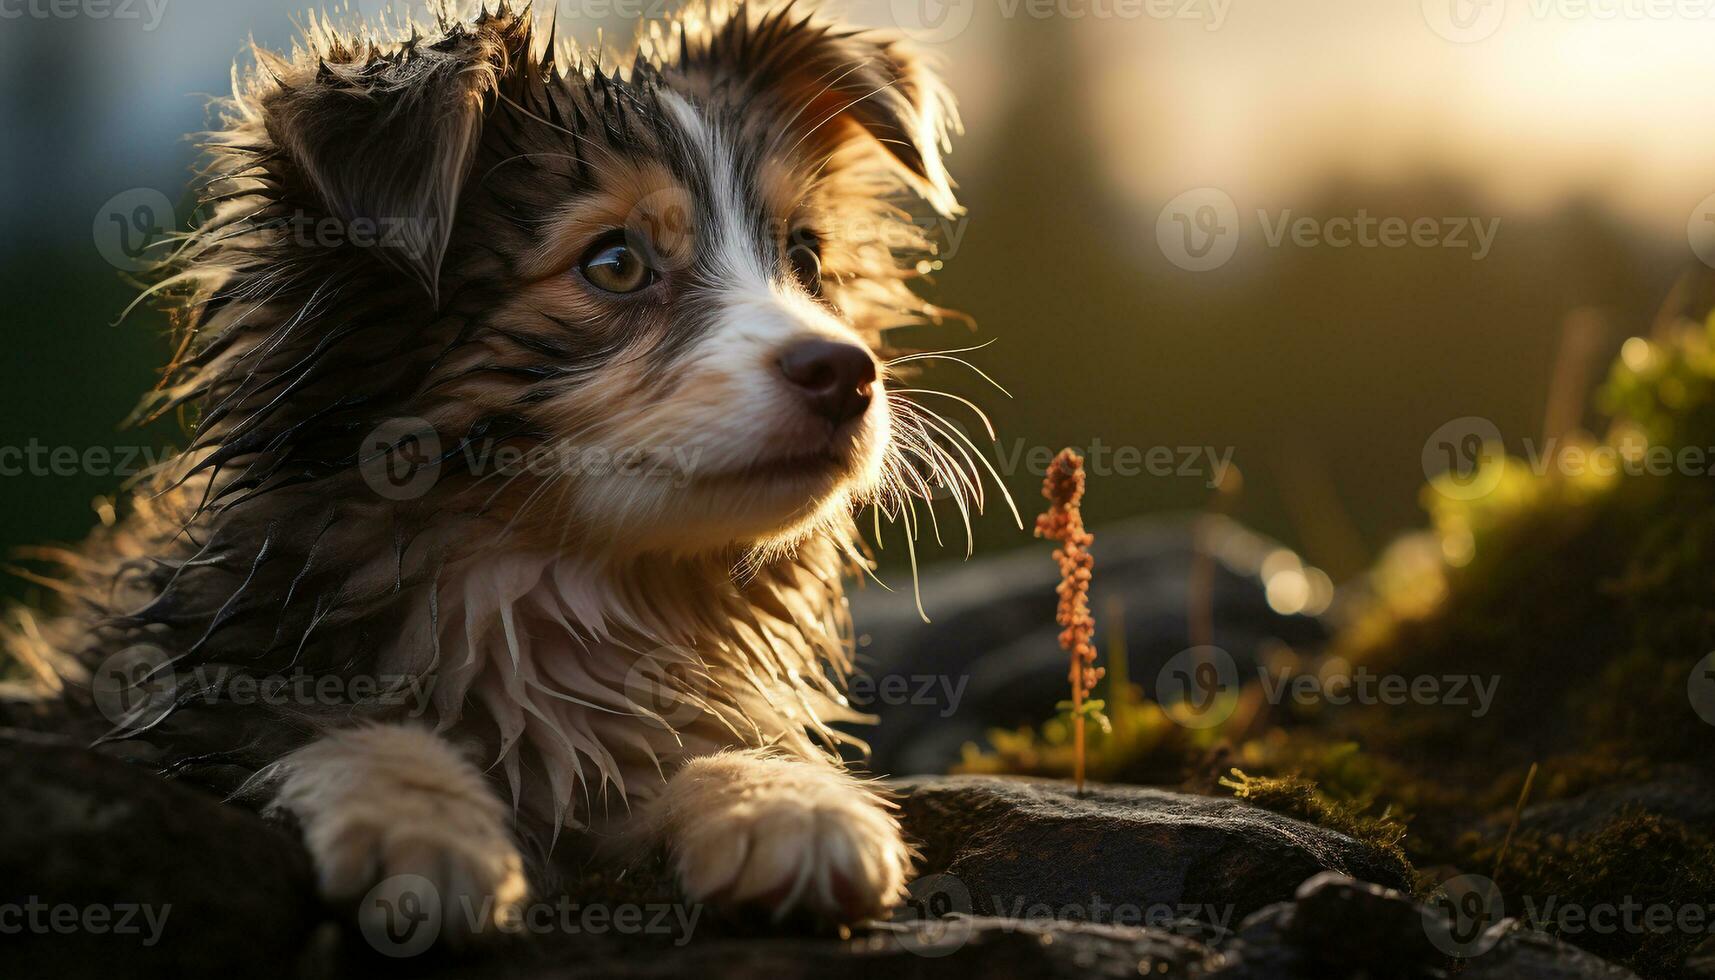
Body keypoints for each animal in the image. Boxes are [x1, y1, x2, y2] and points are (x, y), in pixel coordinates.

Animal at [3, 0, 994, 940]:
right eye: (615, 263)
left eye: (806, 259)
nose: (847, 374)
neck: (544, 581)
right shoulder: (156, 717)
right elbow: (290, 729)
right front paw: (417, 814)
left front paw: (774, 796)